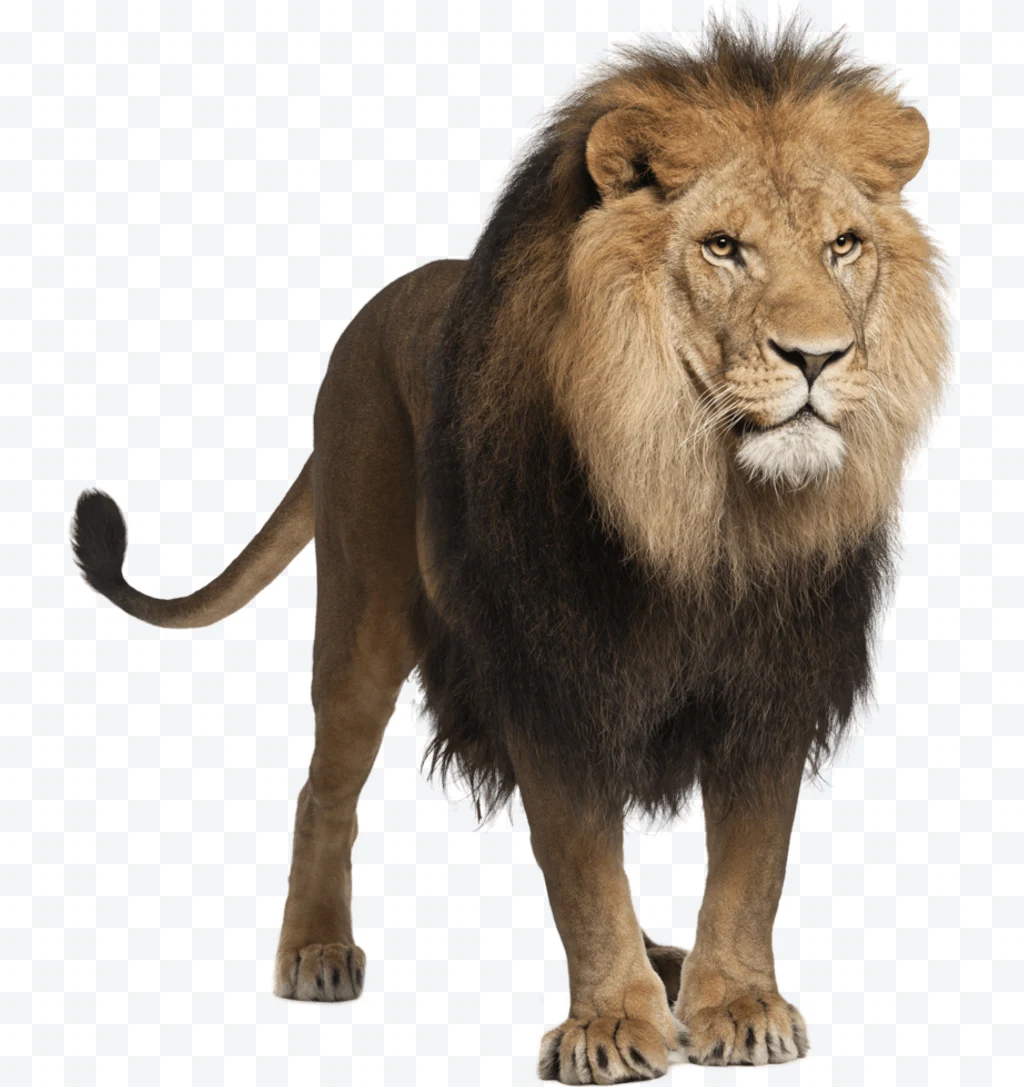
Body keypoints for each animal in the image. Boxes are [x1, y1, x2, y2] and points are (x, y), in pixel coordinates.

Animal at [71, 20, 949, 1082]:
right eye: (723, 248)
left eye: (843, 245)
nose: (818, 357)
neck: (703, 506)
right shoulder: (549, 672)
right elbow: (580, 866)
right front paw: (611, 1023)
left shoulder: (771, 681)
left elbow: (752, 863)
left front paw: (736, 1002)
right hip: (363, 608)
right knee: (324, 786)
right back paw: (317, 949)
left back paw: (670, 964)